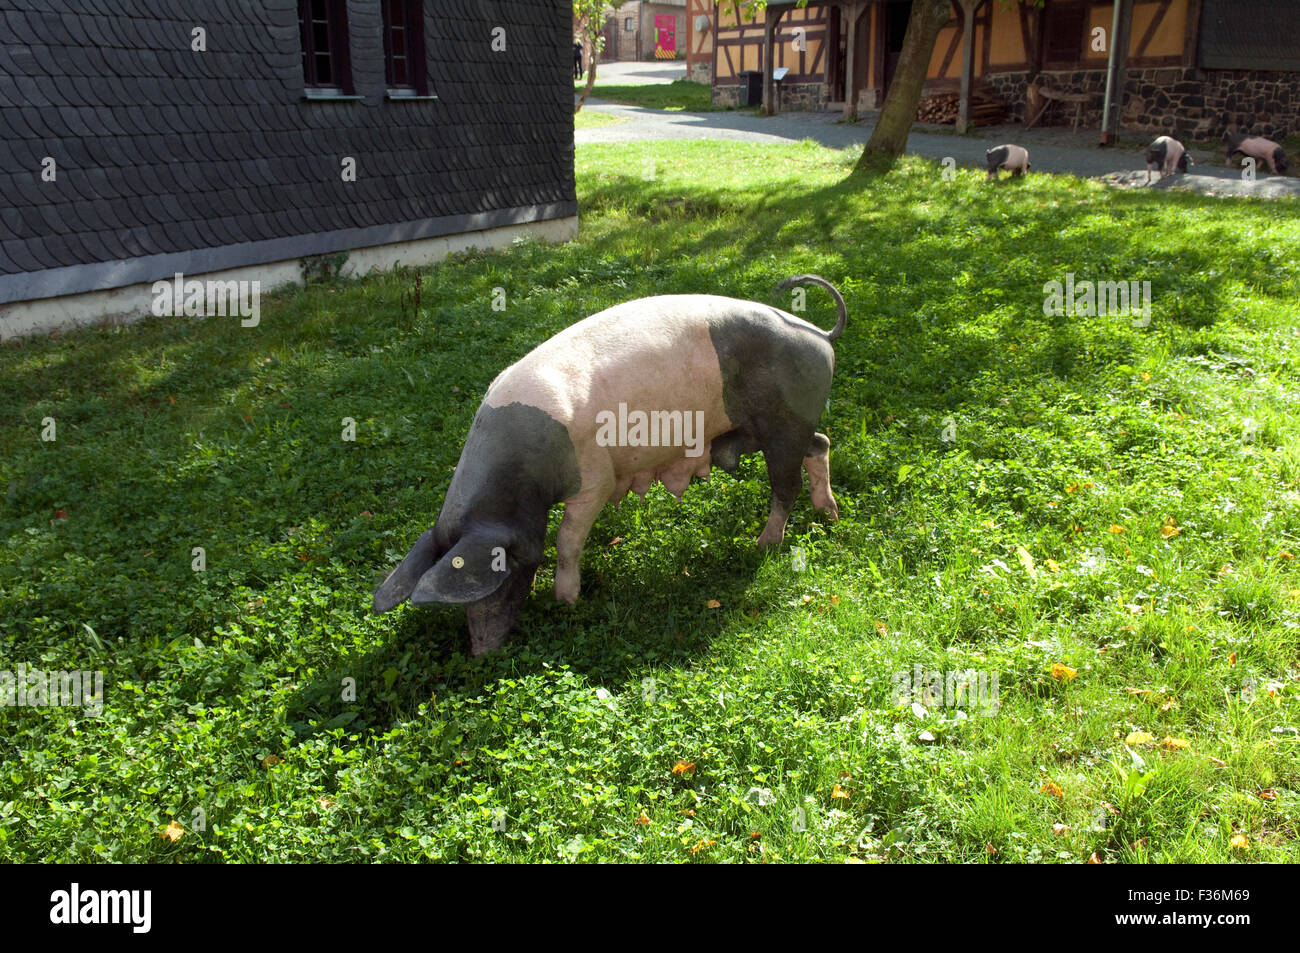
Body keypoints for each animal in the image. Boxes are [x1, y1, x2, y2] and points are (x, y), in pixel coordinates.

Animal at [371, 271, 847, 650]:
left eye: (502, 570)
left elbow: (567, 541)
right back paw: (830, 514)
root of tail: (820, 334)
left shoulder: (594, 479)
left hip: (783, 424)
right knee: (820, 444)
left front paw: (565, 601)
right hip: (778, 428)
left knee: (785, 484)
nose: (481, 654)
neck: (523, 479)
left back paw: (764, 544)